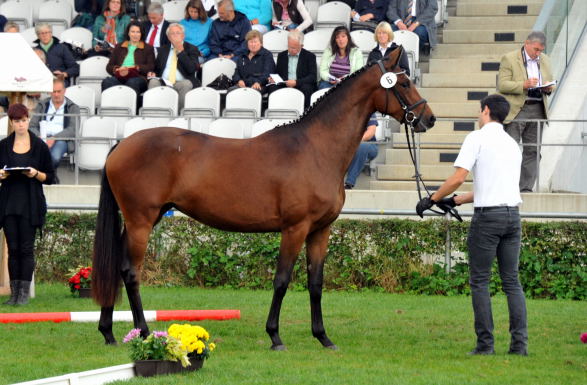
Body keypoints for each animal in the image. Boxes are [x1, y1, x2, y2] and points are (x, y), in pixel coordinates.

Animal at [90, 46, 432, 350]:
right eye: (404, 83)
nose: (427, 119)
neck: (315, 148)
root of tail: (121, 145)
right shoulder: (294, 229)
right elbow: (282, 280)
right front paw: (275, 336)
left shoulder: (320, 231)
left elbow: (316, 283)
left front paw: (323, 337)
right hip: (142, 221)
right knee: (131, 272)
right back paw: (144, 332)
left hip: (143, 219)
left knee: (116, 267)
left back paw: (107, 332)